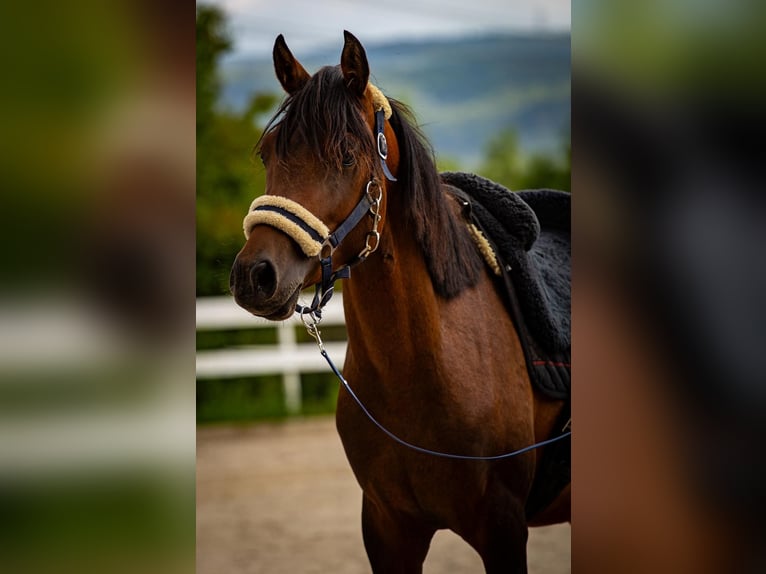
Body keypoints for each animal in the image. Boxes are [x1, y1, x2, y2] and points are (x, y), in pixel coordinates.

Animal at [231, 32, 568, 574]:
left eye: (347, 156)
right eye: (267, 154)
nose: (254, 276)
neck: (420, 367)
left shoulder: (503, 529)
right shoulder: (387, 528)